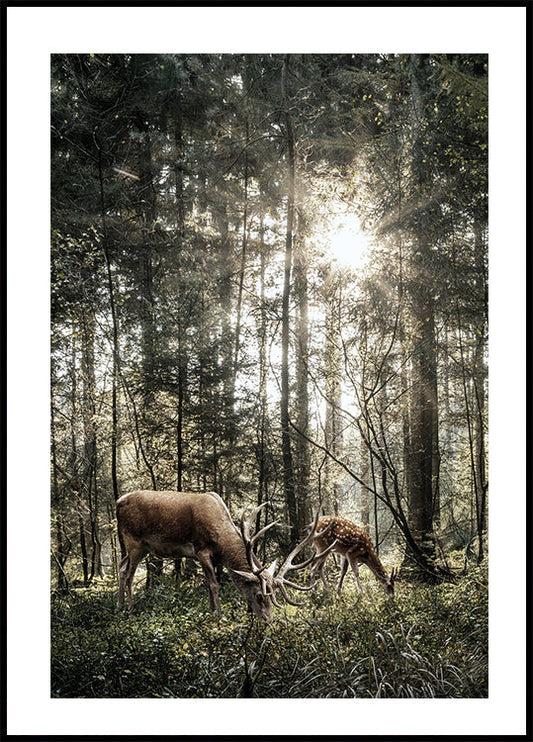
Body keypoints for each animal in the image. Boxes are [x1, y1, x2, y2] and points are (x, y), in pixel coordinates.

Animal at [116, 488, 316, 620]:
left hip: (140, 547)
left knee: (121, 566)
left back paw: (119, 605)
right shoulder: (201, 549)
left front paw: (210, 611)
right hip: (134, 541)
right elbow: (214, 585)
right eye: (260, 595)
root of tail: (118, 502)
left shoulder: (208, 557)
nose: (268, 620)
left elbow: (208, 584)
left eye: (273, 596)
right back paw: (130, 609)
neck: (220, 539)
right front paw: (219, 616)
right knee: (129, 574)